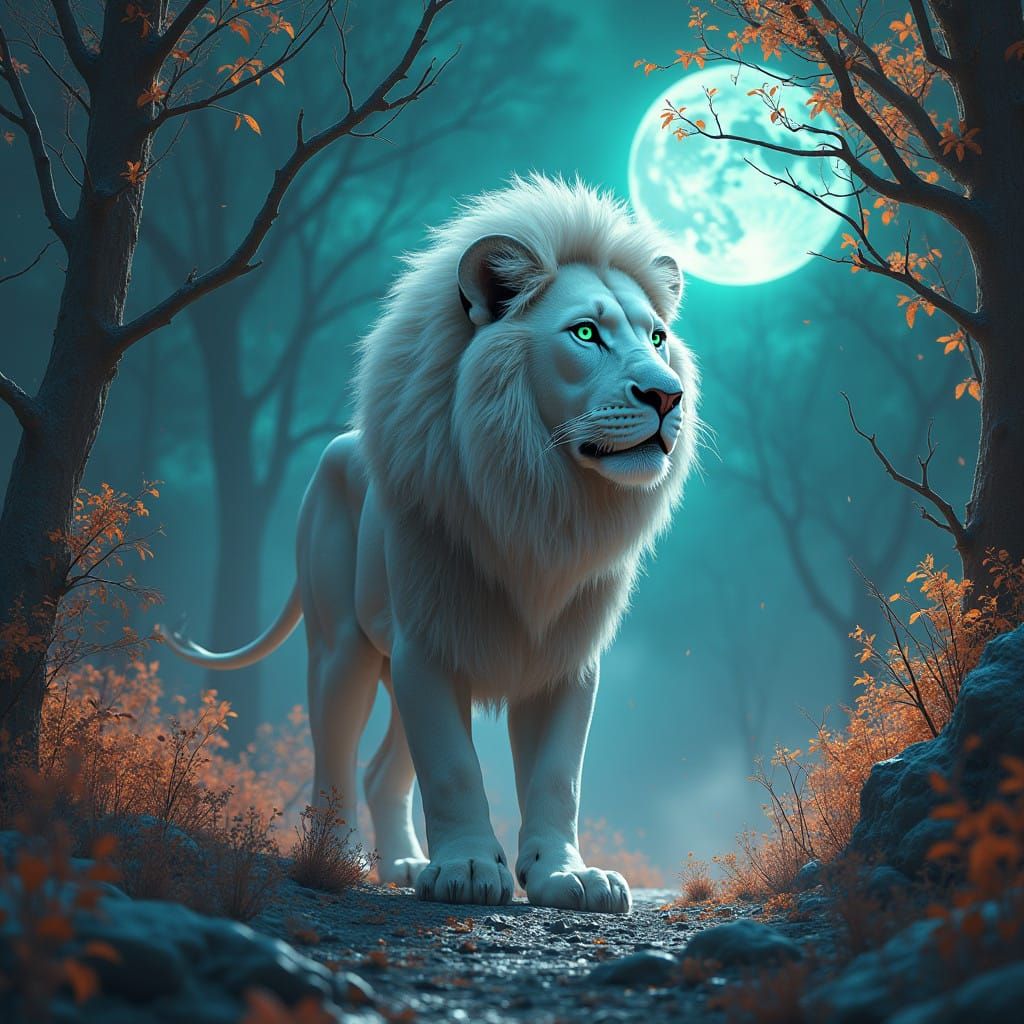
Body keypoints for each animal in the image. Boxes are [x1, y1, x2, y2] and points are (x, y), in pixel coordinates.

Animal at [162, 174, 700, 913]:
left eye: (658, 336)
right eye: (586, 333)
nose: (667, 396)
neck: (542, 501)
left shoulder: (568, 656)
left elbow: (557, 774)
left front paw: (565, 876)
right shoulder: (429, 641)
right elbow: (451, 766)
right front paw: (469, 869)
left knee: (382, 770)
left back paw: (404, 864)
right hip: (344, 650)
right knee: (337, 755)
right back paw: (343, 859)